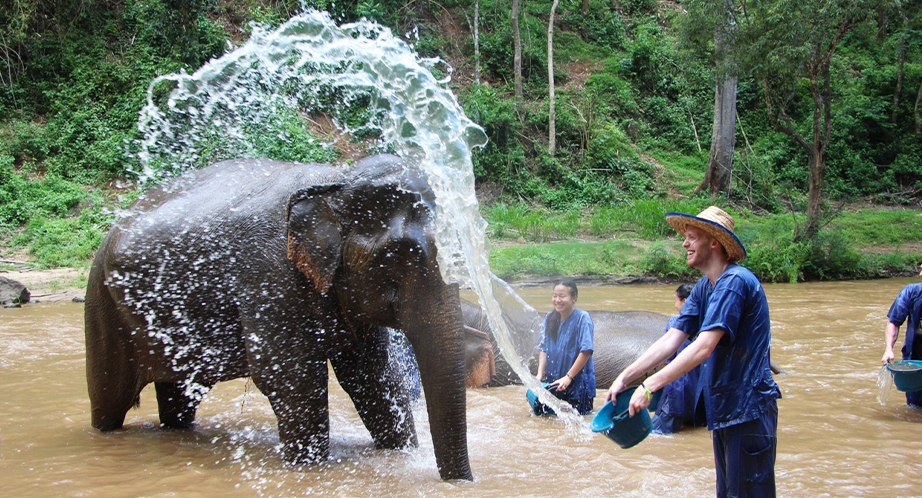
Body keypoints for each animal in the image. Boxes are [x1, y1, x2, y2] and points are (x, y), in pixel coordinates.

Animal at [83, 154, 470, 480]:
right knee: (109, 399)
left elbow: (372, 376)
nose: (462, 482)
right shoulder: (267, 277)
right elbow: (290, 377)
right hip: (103, 306)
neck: (335, 179)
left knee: (179, 396)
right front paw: (309, 470)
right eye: (397, 255)